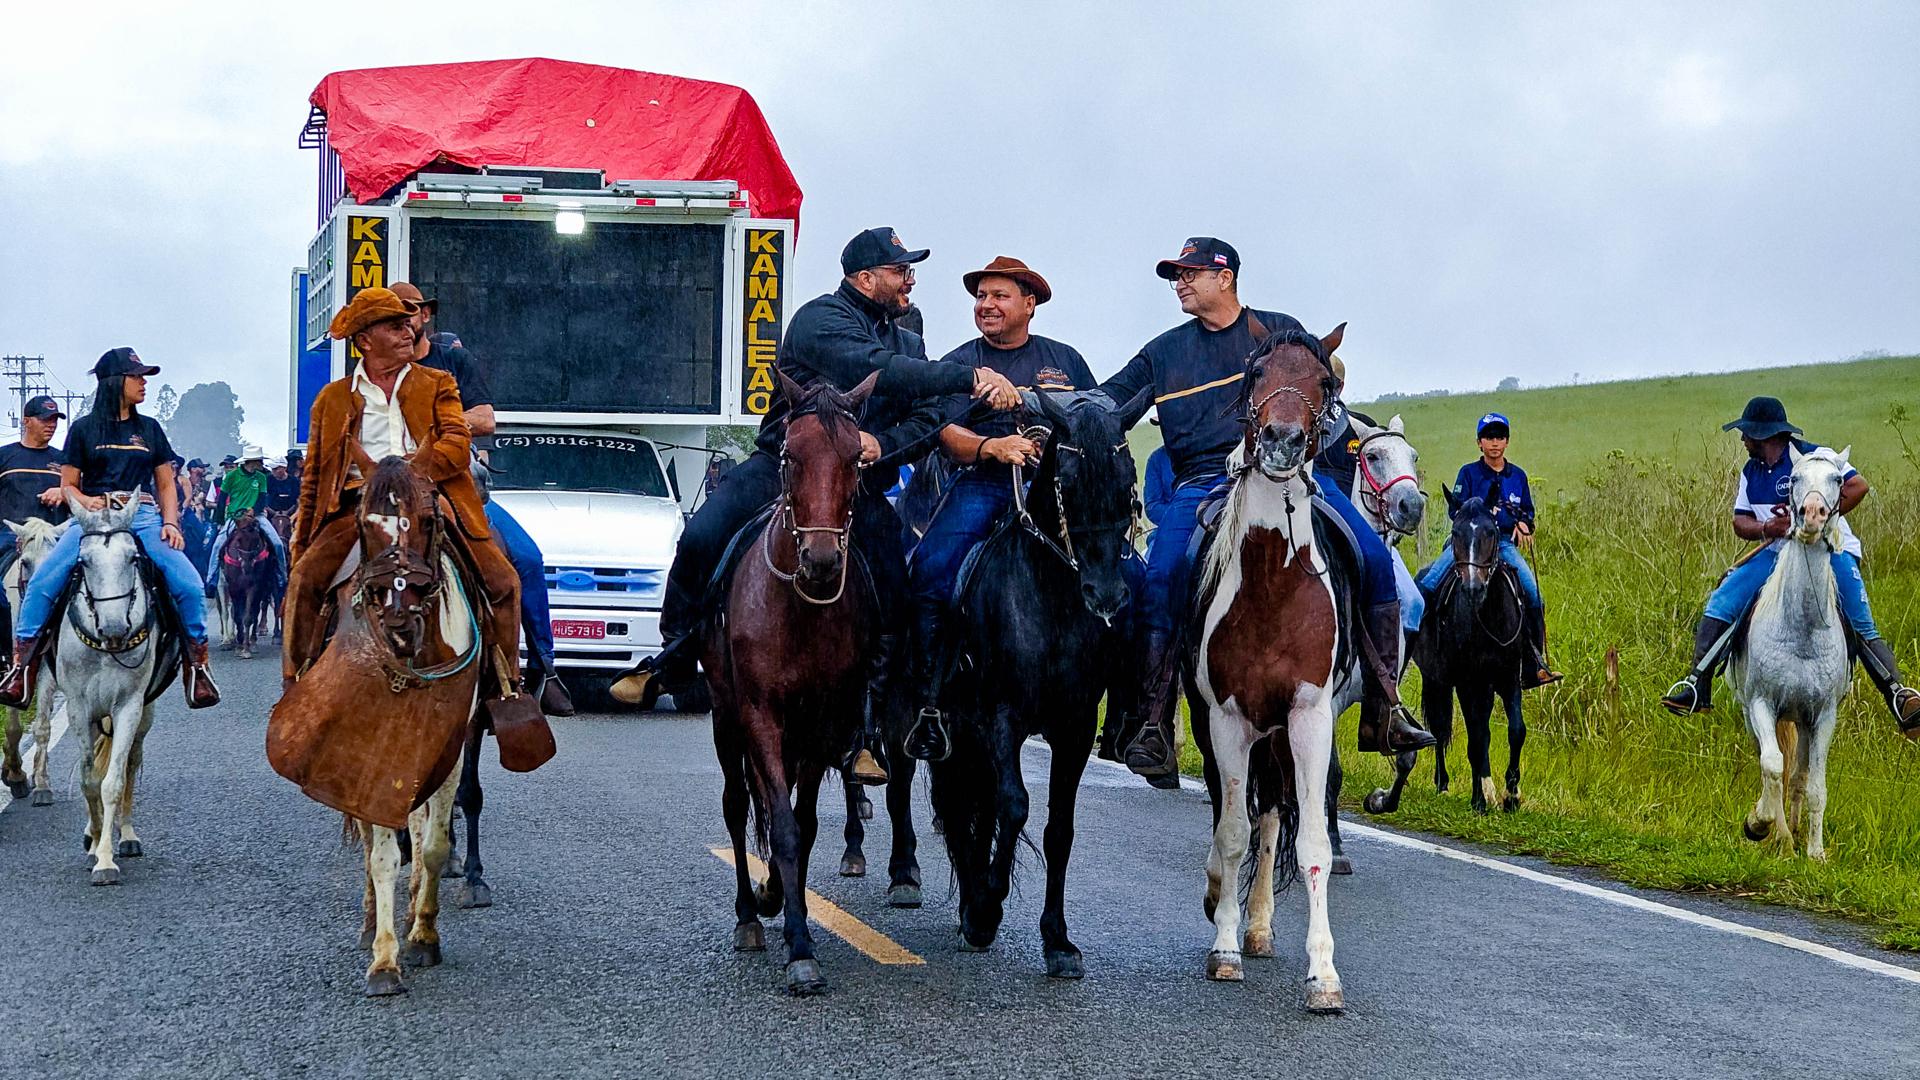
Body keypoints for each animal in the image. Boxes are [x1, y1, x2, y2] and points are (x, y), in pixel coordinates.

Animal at [221, 509, 277, 659]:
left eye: (256, 540)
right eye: (238, 539)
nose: (246, 567)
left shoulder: (254, 588)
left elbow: (247, 617)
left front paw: (246, 649)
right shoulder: (233, 588)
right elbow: (237, 616)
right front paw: (239, 646)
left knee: (256, 611)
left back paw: (253, 642)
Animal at [267, 457, 479, 996]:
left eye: (427, 520)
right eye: (365, 524)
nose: (399, 621)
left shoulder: (447, 747)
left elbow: (434, 845)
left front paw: (423, 933)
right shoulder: (368, 754)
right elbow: (383, 854)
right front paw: (385, 959)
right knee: (368, 842)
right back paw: (370, 925)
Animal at [708, 371, 879, 996]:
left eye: (855, 458)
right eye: (789, 455)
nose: (823, 560)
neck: (800, 607)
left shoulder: (821, 726)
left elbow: (799, 829)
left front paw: (791, 910)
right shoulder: (760, 714)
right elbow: (777, 824)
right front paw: (798, 945)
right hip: (726, 718)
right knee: (738, 806)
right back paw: (749, 916)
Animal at [930, 385, 1150, 978]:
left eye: (1127, 482)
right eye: (1067, 484)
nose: (1107, 596)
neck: (1049, 600)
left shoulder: (1074, 727)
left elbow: (1058, 828)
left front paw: (1057, 941)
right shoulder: (999, 718)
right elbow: (1014, 806)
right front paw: (986, 909)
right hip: (951, 733)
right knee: (957, 806)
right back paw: (971, 905)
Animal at [1727, 445, 1854, 860]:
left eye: (1837, 478)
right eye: (1795, 478)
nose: (1813, 515)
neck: (1802, 633)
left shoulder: (1823, 716)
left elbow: (1814, 784)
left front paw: (1815, 853)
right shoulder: (1761, 703)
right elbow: (1771, 766)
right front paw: (1760, 825)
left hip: (1802, 719)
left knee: (1798, 773)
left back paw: (1797, 832)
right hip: (1756, 712)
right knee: (1777, 766)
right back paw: (1781, 833)